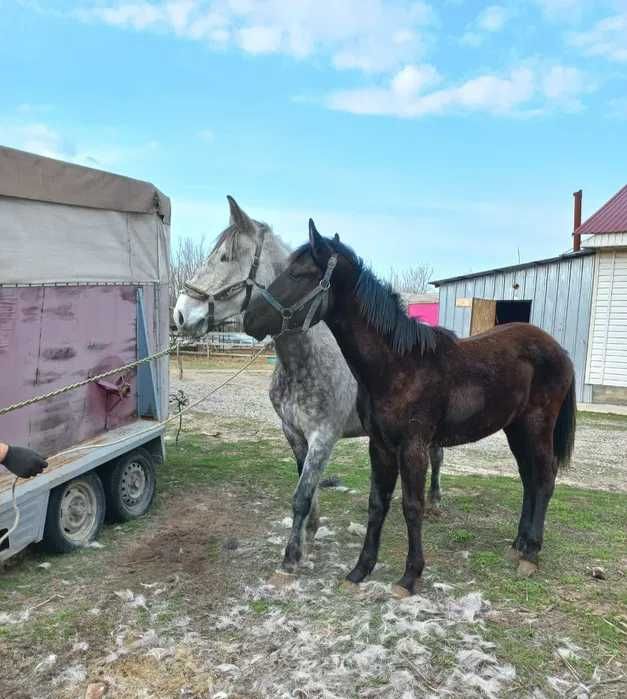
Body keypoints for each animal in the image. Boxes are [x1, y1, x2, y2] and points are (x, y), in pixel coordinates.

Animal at [174, 200, 444, 572]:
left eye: (226, 256)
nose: (180, 314)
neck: (305, 361)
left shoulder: (323, 436)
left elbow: (302, 494)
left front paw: (292, 555)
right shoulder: (293, 432)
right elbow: (307, 483)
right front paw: (311, 531)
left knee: (437, 455)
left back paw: (435, 501)